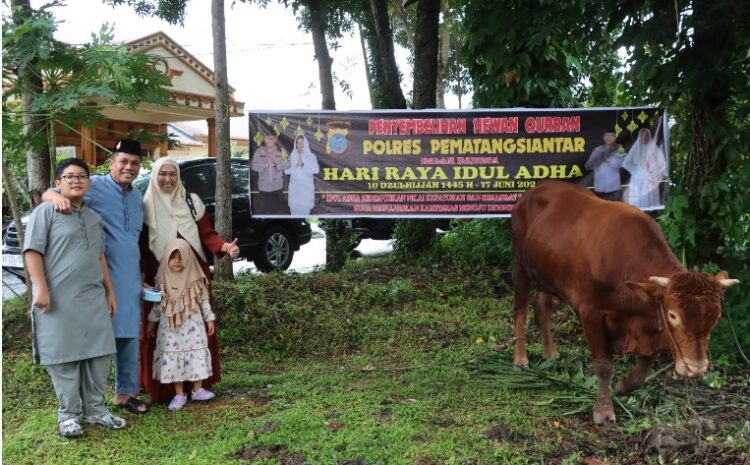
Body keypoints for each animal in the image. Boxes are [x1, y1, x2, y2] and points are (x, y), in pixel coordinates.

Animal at [512, 181, 740, 424]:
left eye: (715, 318)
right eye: (673, 315)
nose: (695, 368)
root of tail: (534, 190)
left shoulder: (649, 323)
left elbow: (644, 367)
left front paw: (623, 386)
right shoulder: (591, 312)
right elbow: (604, 365)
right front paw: (603, 411)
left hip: (551, 277)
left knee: (542, 305)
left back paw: (550, 353)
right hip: (520, 265)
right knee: (520, 310)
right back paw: (520, 358)